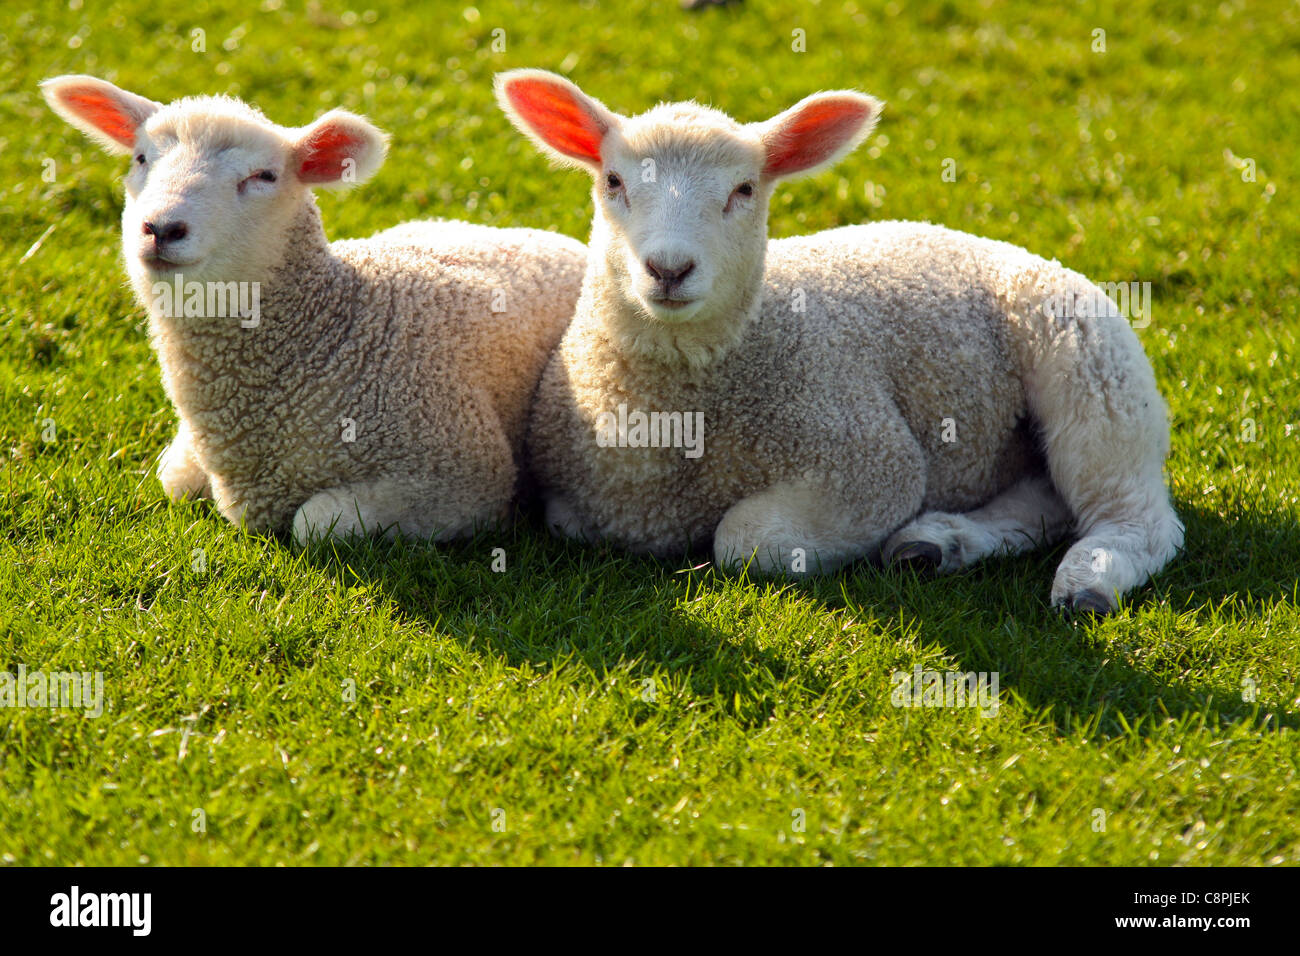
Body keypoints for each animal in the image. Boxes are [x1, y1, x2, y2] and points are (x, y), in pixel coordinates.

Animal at [42, 75, 586, 545]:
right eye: (140, 158)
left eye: (263, 176)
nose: (160, 228)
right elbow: (173, 477)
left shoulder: (461, 477)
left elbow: (313, 521)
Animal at [494, 69, 1183, 614]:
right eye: (613, 181)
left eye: (744, 190)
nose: (668, 268)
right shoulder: (579, 507)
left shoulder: (870, 461)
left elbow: (745, 540)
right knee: (1049, 498)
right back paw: (939, 543)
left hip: (1092, 364)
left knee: (1137, 516)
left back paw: (1086, 584)